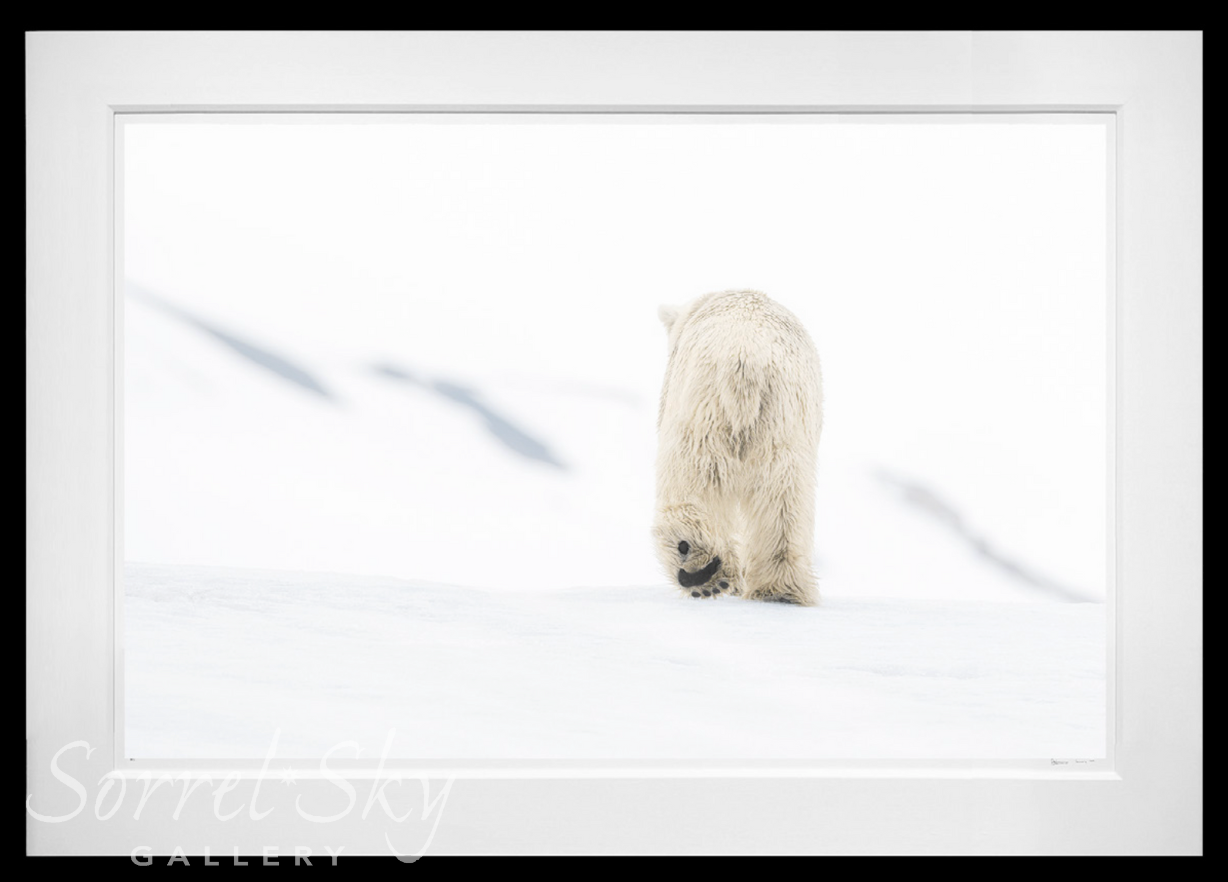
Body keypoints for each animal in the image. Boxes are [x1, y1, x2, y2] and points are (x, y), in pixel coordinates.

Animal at [653, 292, 825, 609]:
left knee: (692, 474)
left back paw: (696, 566)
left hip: (704, 406)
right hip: (782, 422)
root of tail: (744, 362)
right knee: (784, 498)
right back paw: (780, 590)